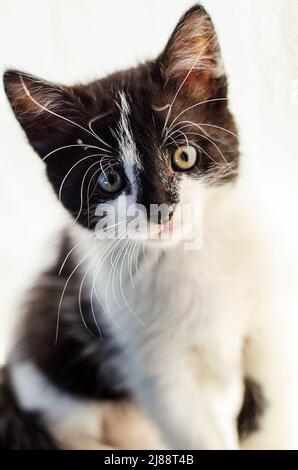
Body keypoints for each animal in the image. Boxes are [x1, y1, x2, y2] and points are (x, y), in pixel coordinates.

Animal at [0, 4, 286, 448]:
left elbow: (272, 404)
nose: (160, 209)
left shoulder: (267, 320)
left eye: (183, 155)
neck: (188, 257)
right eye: (109, 179)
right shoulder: (155, 369)